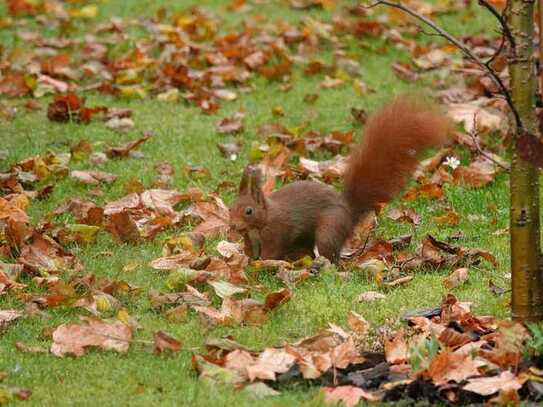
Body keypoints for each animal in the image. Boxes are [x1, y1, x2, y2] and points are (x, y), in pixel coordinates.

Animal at [228, 95, 450, 262]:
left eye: (249, 211)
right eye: (230, 208)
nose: (233, 226)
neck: (263, 220)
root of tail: (349, 212)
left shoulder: (277, 232)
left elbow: (271, 252)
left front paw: (262, 264)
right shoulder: (250, 239)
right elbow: (251, 252)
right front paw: (249, 262)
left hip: (330, 228)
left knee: (331, 255)